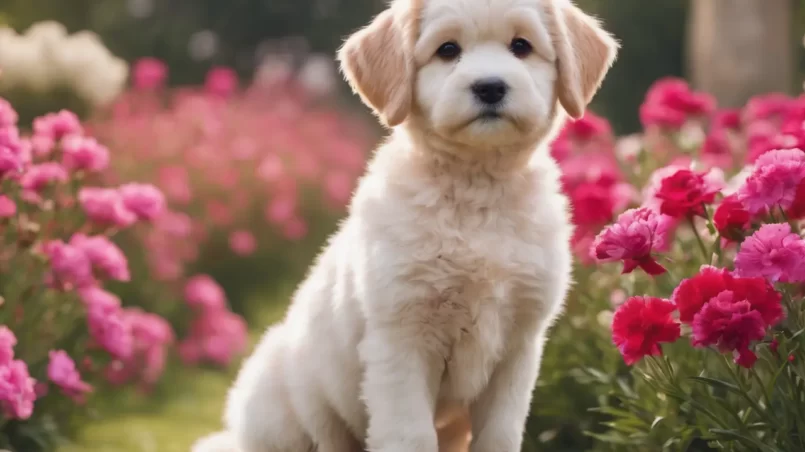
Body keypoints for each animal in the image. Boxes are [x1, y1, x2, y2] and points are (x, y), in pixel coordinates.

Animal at [193, 0, 616, 452]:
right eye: (448, 50)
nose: (490, 87)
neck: (476, 187)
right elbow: (410, 434)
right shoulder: (402, 339)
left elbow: (500, 435)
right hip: (275, 398)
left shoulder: (519, 346)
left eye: (521, 46)